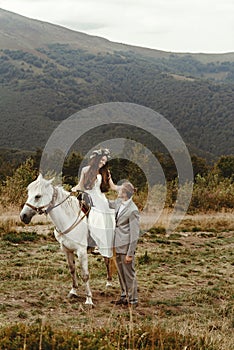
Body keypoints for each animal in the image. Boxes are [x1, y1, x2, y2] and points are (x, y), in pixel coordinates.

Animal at [19, 174, 93, 304]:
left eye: (37, 196)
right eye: (28, 194)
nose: (23, 216)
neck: (69, 218)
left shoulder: (82, 251)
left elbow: (85, 275)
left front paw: (89, 299)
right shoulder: (67, 250)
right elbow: (72, 270)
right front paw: (73, 291)